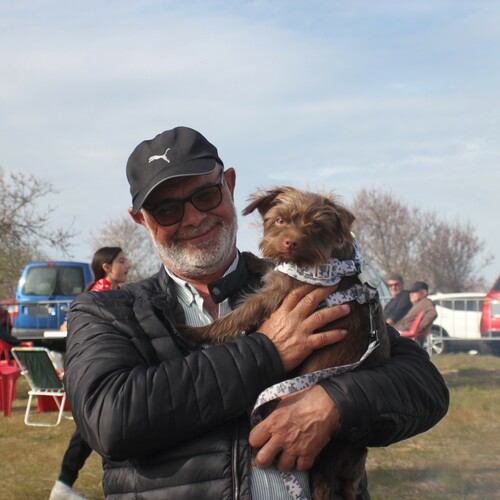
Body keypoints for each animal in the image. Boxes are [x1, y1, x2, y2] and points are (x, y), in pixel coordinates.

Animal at [182, 188, 388, 500]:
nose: (291, 242)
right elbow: (272, 267)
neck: (323, 262)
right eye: (279, 220)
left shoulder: (279, 293)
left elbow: (239, 315)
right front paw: (254, 259)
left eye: (316, 226)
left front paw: (199, 333)